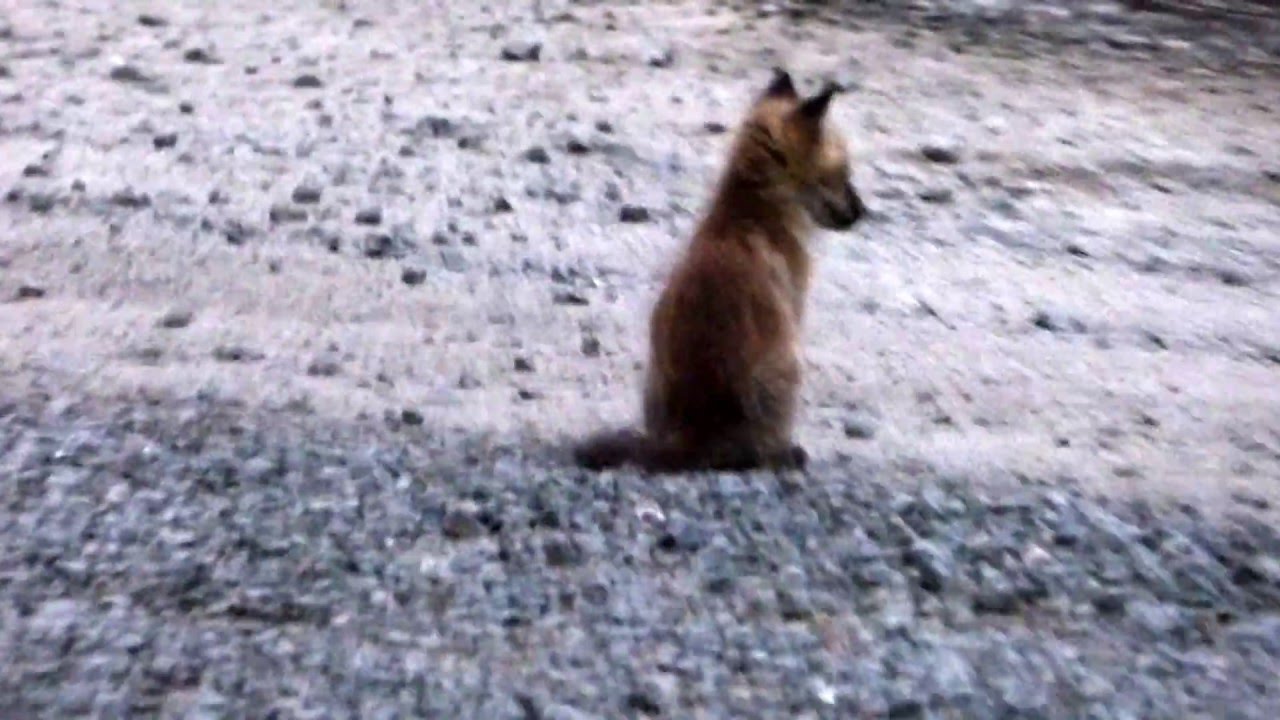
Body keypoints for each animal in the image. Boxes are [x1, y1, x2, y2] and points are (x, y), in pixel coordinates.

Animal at [572, 68, 868, 473]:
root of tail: (690, 440)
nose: (863, 211)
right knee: (759, 454)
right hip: (789, 366)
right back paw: (786, 455)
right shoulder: (794, 307)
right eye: (841, 173)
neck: (750, 211)